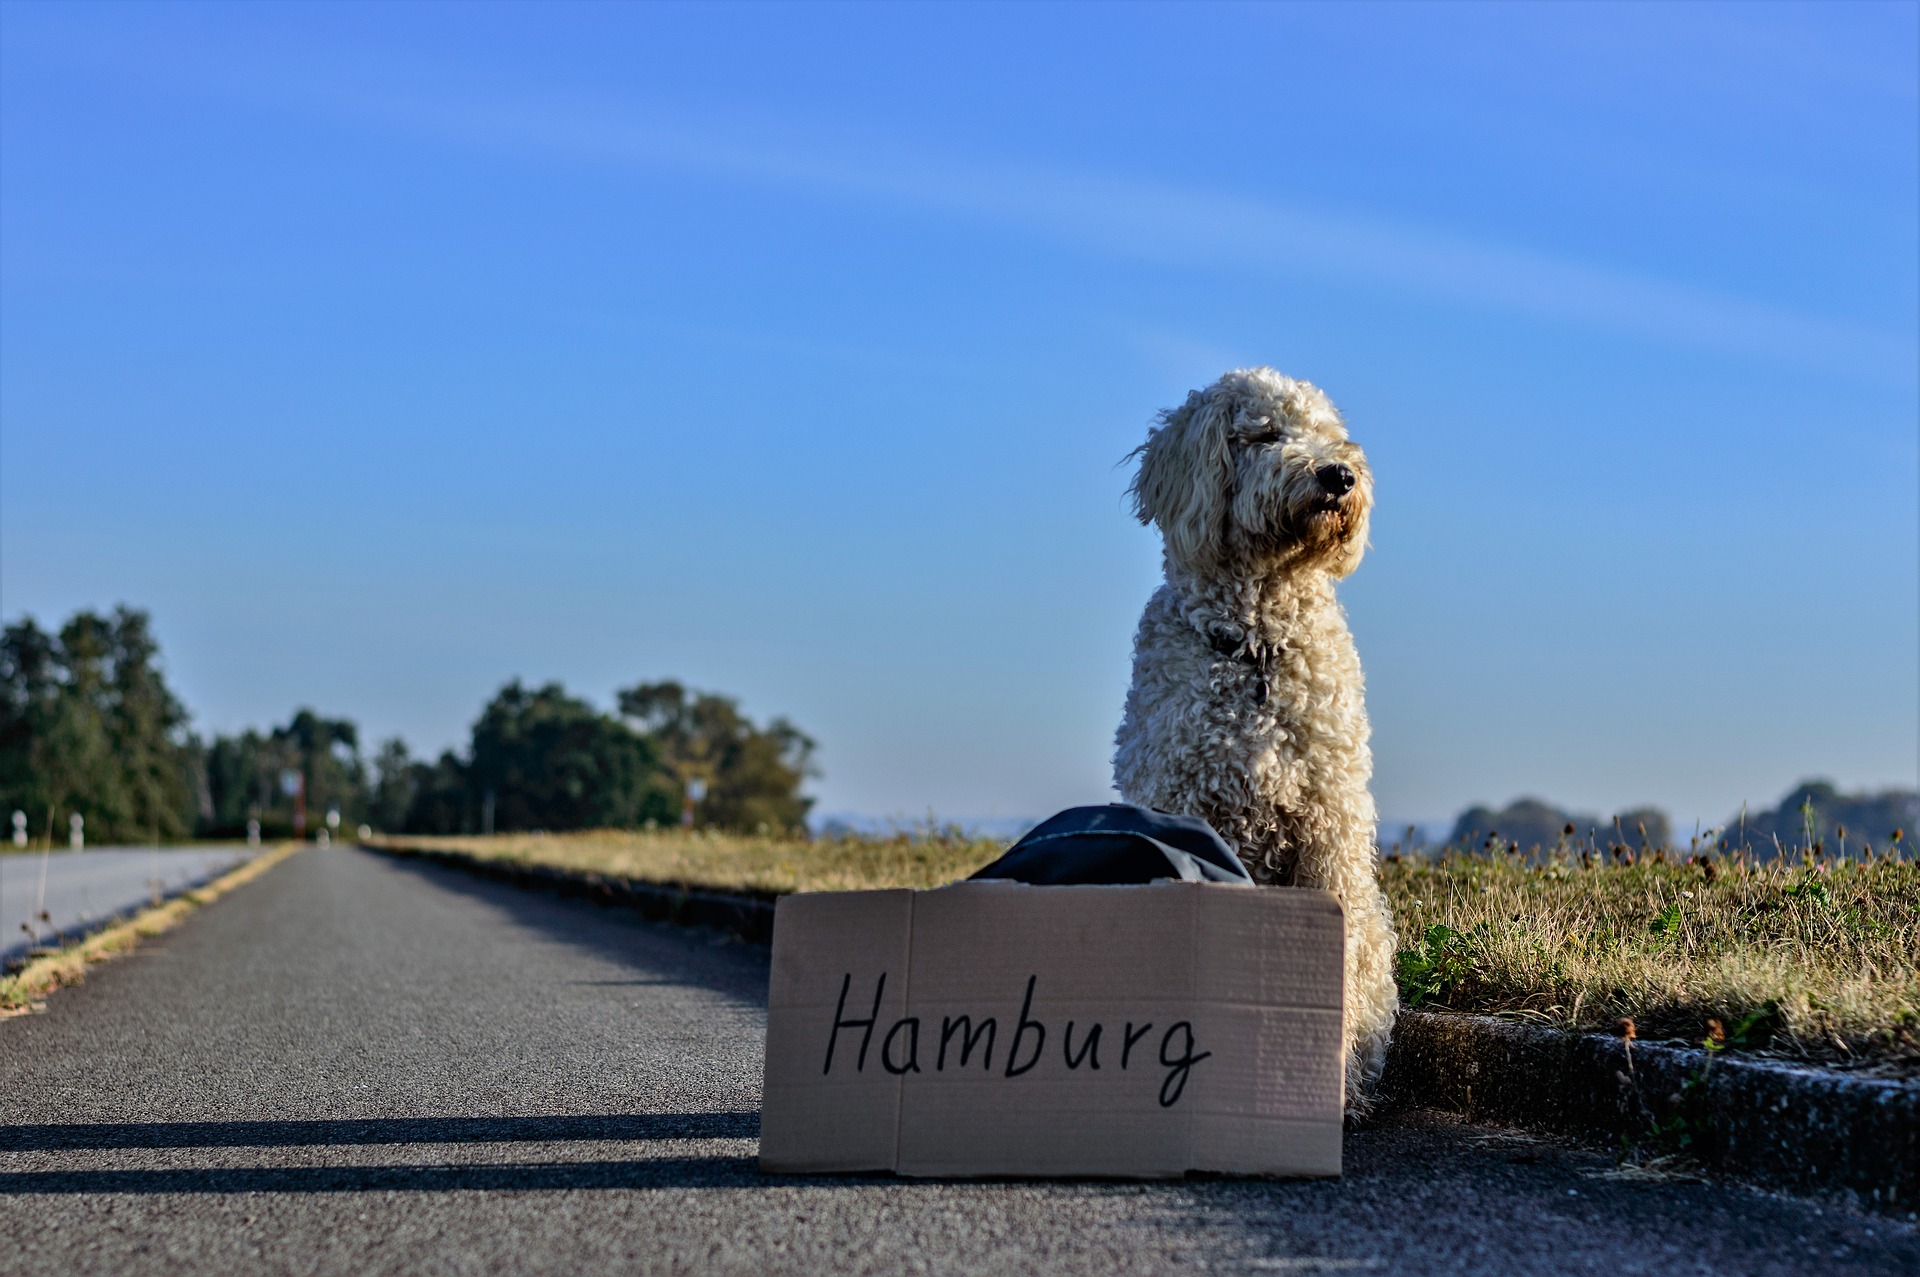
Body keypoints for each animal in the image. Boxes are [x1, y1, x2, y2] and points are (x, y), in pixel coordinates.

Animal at [1113, 362, 1397, 1113]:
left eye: (1328, 432)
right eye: (1265, 433)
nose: (1340, 475)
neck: (1256, 647)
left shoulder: (1330, 825)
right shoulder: (1179, 803)